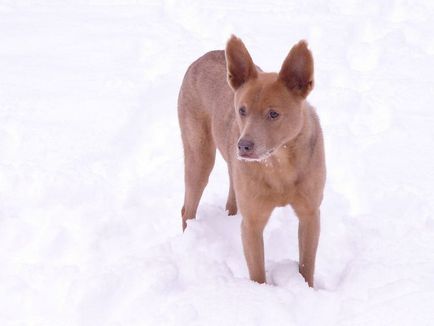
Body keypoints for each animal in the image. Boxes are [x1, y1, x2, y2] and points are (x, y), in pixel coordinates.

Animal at [178, 35, 324, 286]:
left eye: (273, 114)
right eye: (242, 110)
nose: (243, 146)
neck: (279, 164)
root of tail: (202, 58)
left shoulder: (310, 214)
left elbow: (307, 265)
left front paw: (307, 287)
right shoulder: (253, 223)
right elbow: (257, 273)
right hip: (199, 156)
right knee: (187, 209)